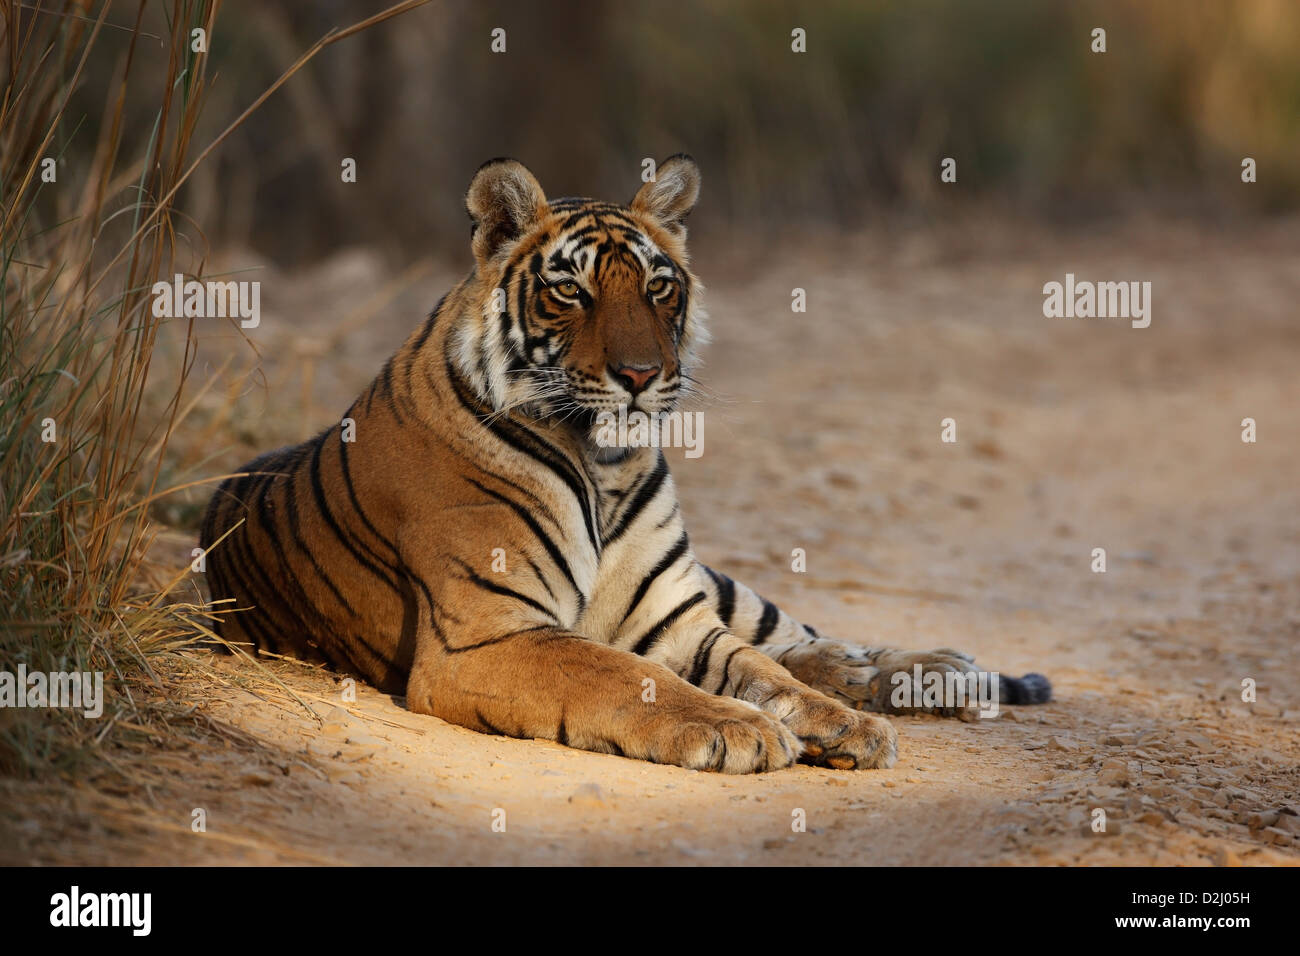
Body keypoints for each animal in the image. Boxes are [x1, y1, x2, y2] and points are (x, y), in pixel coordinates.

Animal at [205, 153, 1055, 775]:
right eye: (571, 292)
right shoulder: (490, 635)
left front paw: (844, 724)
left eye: (658, 287)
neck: (604, 462)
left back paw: (925, 669)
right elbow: (617, 673)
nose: (642, 374)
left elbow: (766, 669)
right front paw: (740, 729)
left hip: (720, 584)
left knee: (802, 636)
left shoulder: (678, 615)